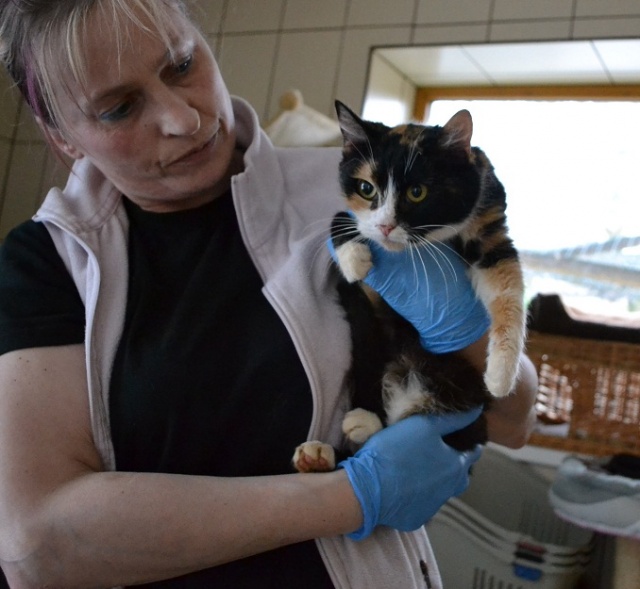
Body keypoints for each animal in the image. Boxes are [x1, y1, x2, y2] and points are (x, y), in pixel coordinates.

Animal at [293, 102, 525, 473]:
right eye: (366, 188)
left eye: (418, 192)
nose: (386, 227)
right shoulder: (362, 300)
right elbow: (340, 220)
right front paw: (354, 258)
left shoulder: (489, 226)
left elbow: (507, 290)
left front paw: (502, 374)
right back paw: (328, 450)